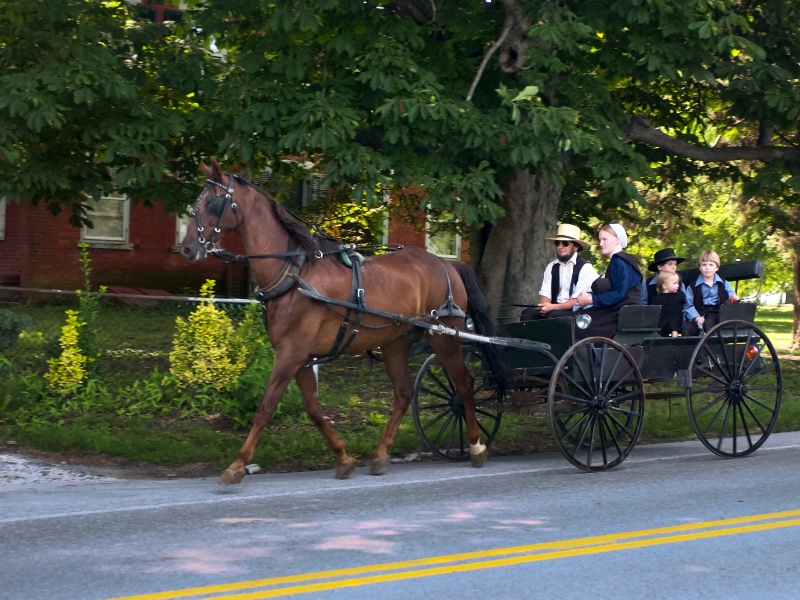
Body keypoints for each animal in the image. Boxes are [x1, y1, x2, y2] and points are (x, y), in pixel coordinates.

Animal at [181, 158, 506, 482]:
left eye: (213, 203)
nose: (187, 248)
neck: (293, 272)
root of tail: (447, 265)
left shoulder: (291, 353)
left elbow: (265, 407)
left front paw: (237, 465)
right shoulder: (301, 357)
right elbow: (314, 410)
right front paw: (344, 457)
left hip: (445, 337)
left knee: (464, 384)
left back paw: (476, 446)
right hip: (395, 343)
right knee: (404, 393)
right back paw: (382, 453)